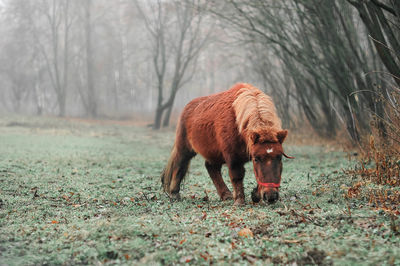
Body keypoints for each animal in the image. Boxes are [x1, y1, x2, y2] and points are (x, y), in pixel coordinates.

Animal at [160, 83, 294, 206]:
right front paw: (239, 200)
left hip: (214, 153)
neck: (238, 121)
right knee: (179, 165)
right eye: (256, 159)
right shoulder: (233, 157)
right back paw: (174, 194)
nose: (271, 196)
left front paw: (255, 195)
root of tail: (187, 107)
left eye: (279, 157)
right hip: (185, 149)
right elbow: (237, 175)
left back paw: (225, 195)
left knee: (211, 167)